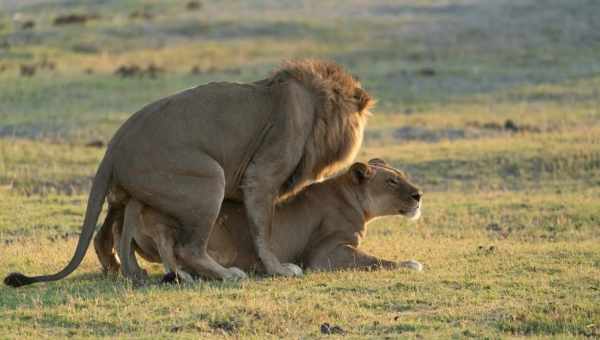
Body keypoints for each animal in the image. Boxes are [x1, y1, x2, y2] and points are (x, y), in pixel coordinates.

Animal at [4, 59, 370, 286]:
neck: (315, 106)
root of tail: (114, 145)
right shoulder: (261, 176)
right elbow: (263, 231)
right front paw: (278, 269)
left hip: (126, 195)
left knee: (103, 235)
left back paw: (121, 269)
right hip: (208, 181)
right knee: (189, 247)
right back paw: (226, 275)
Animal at [109, 158, 426, 282]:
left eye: (400, 176)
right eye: (392, 182)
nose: (419, 195)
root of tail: (138, 201)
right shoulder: (324, 254)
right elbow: (376, 260)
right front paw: (411, 264)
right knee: (177, 249)